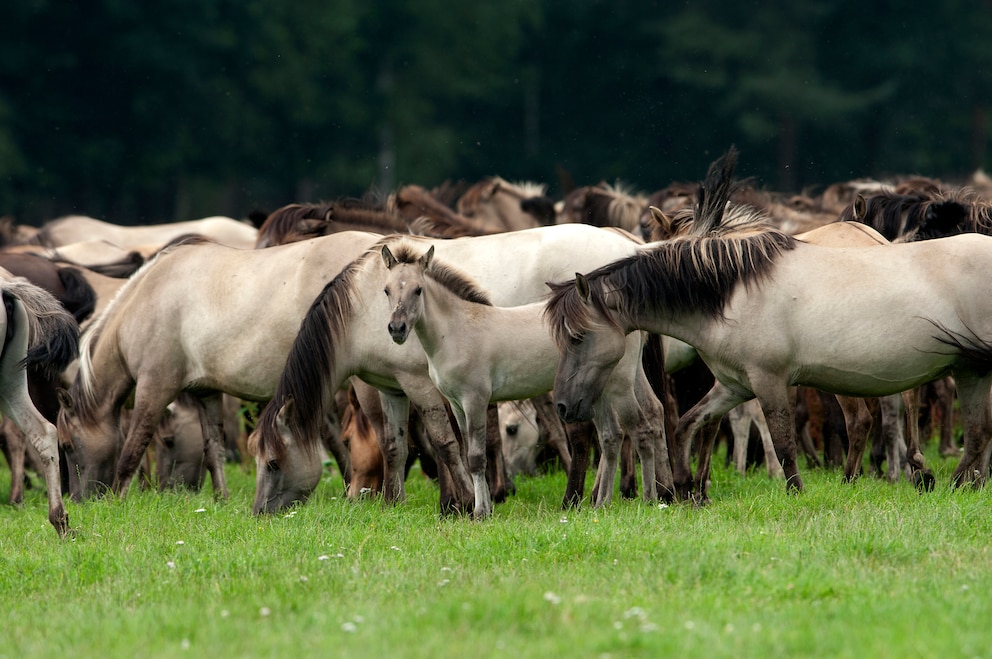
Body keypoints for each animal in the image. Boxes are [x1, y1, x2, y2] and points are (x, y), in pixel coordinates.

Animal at [53, 231, 388, 500]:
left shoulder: (154, 388)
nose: (78, 499)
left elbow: (131, 451)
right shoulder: (207, 393)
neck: (149, 297)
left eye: (67, 445)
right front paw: (221, 499)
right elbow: (213, 451)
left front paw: (118, 501)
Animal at [380, 240, 668, 520]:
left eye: (418, 290)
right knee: (618, 433)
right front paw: (484, 508)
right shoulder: (457, 405)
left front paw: (480, 513)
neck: (457, 330)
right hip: (598, 389)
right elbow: (468, 453)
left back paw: (648, 499)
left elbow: (476, 457)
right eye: (386, 290)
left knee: (638, 428)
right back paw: (609, 503)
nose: (396, 329)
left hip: (618, 385)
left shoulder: (475, 400)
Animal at [548, 150, 992, 502]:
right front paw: (687, 487)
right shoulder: (734, 384)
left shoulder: (770, 381)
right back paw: (954, 483)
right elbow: (691, 425)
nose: (563, 406)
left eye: (577, 337)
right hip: (969, 369)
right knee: (975, 432)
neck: (731, 291)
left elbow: (782, 443)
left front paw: (794, 494)